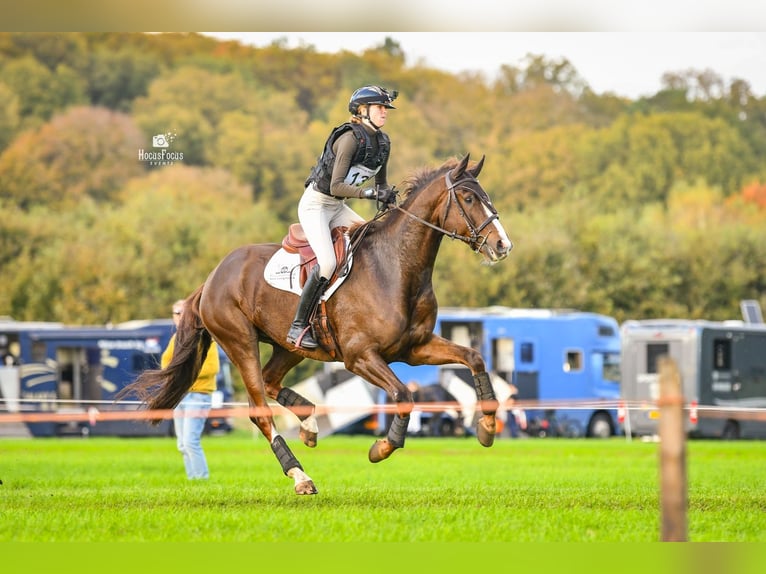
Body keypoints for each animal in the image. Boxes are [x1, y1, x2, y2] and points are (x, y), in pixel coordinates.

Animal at [123, 153, 512, 496]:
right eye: (468, 198)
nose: (502, 245)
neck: (396, 267)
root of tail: (212, 278)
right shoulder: (360, 356)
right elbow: (403, 394)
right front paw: (382, 448)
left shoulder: (415, 348)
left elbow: (474, 358)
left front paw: (487, 428)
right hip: (240, 341)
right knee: (260, 411)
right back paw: (301, 477)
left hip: (290, 345)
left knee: (270, 380)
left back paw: (309, 425)